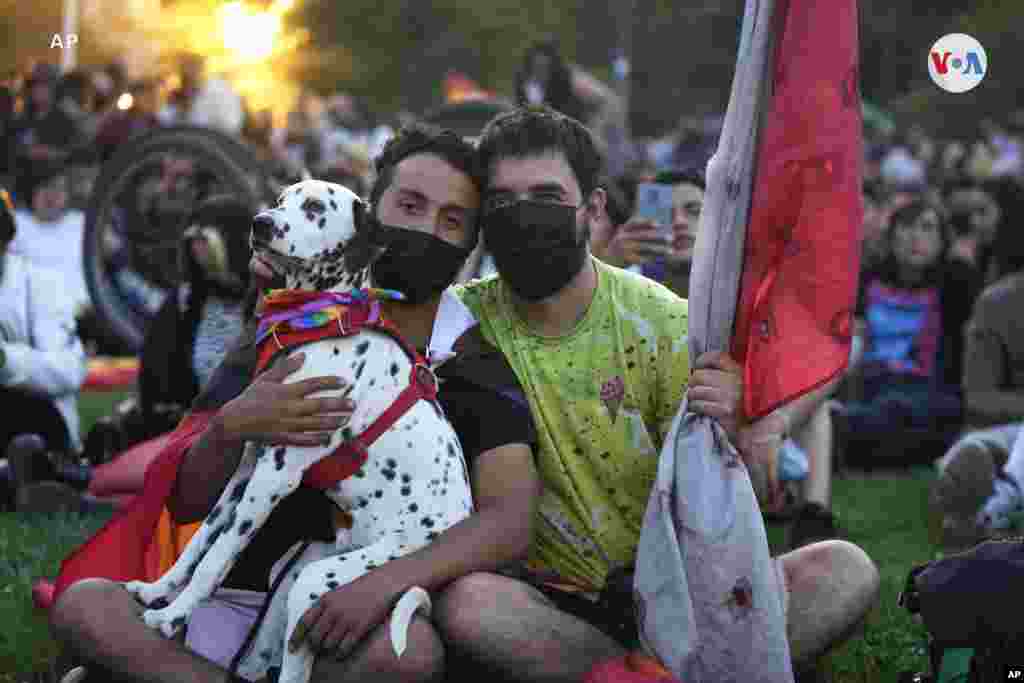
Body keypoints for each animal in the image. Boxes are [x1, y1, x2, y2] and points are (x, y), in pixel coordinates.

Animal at [121, 180, 473, 683]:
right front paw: (159, 591)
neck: (321, 322)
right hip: (297, 577)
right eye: (281, 199)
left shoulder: (275, 478)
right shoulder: (247, 466)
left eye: (314, 207)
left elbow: (217, 559)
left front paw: (171, 618)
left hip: (321, 584)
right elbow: (201, 542)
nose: (261, 223)